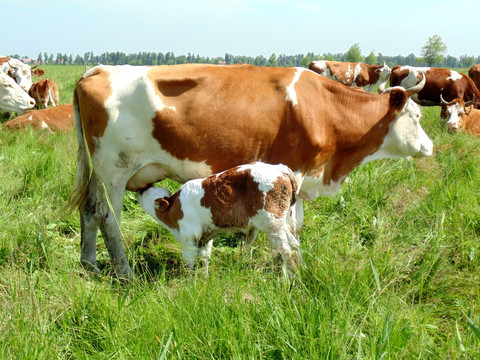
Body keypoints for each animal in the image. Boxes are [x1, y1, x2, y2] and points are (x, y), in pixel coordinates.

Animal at [138, 162, 300, 274]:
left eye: (148, 193)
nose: (141, 188)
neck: (174, 209)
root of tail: (278, 168)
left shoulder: (189, 237)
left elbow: (189, 263)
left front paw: (189, 285)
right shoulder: (205, 238)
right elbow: (204, 261)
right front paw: (203, 282)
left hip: (273, 223)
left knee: (285, 250)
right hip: (284, 221)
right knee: (294, 245)